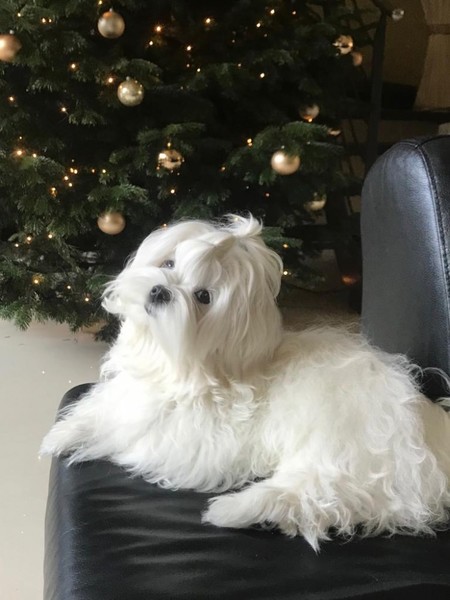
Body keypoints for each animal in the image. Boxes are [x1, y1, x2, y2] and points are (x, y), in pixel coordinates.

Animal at [41, 214, 450, 550]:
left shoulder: (187, 438)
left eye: (203, 297)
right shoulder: (127, 395)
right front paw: (63, 433)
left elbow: (131, 435)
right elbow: (104, 410)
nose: (160, 290)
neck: (171, 360)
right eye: (168, 263)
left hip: (344, 446)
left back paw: (236, 509)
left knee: (314, 493)